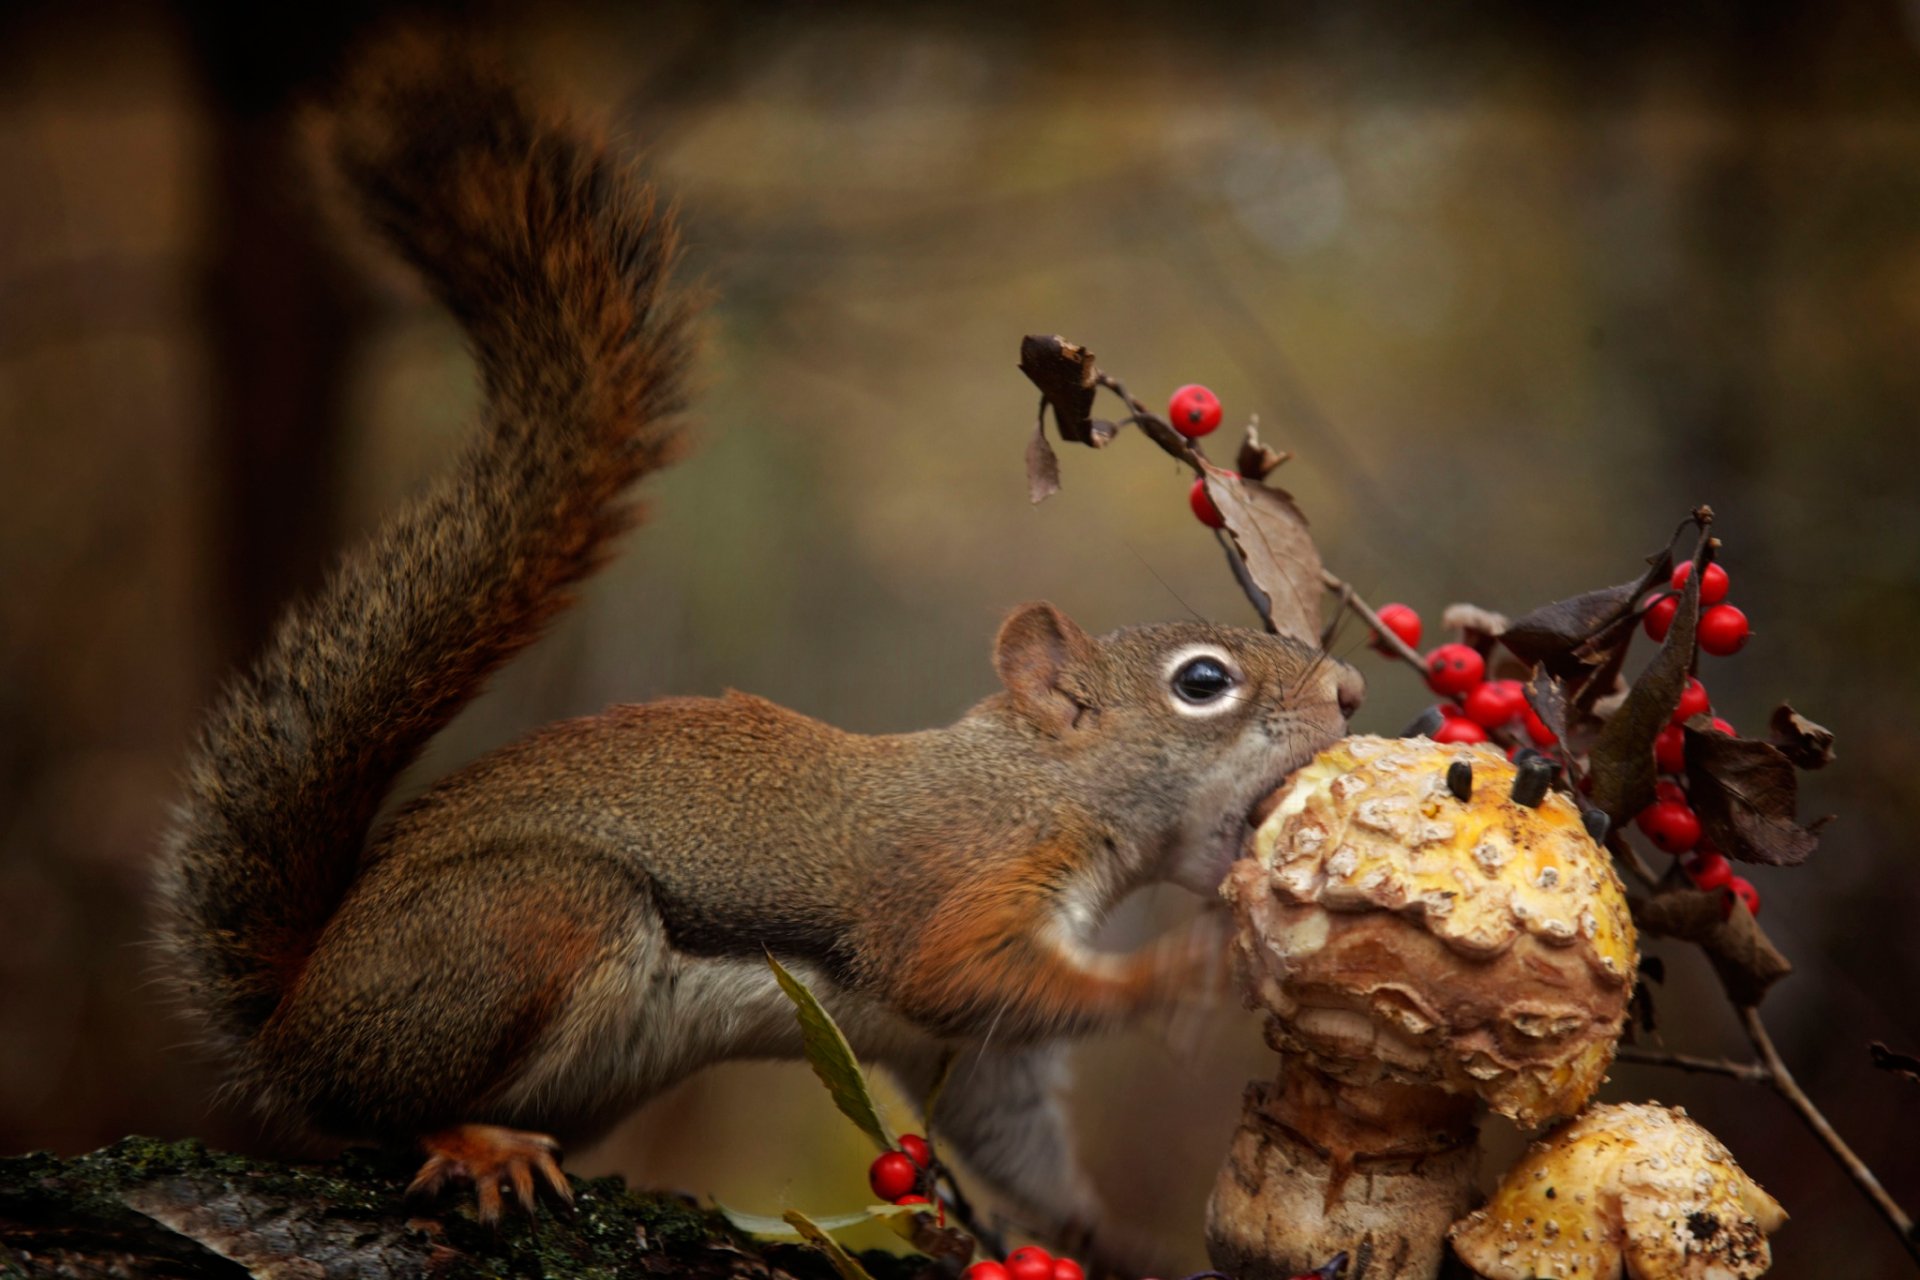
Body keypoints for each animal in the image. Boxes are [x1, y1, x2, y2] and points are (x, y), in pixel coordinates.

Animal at [157, 35, 1374, 1266]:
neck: (1041, 784)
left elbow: (1016, 1133)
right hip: (531, 919)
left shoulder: (985, 1055)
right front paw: (1182, 970)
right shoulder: (961, 881)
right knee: (371, 1106)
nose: (1352, 686)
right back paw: (474, 1141)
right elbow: (957, 970)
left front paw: (1103, 1239)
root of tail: (298, 1008)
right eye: (1203, 683)